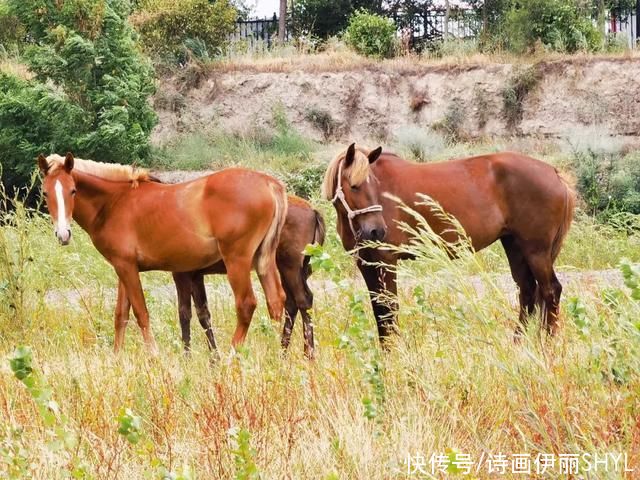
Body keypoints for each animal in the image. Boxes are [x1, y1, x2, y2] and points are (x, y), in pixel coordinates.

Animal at [38, 153, 288, 352]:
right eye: (45, 193)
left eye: (73, 191)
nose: (63, 234)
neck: (115, 202)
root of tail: (268, 182)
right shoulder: (123, 268)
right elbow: (121, 315)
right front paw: (116, 358)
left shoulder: (127, 268)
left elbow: (141, 313)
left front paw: (154, 356)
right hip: (263, 261)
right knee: (277, 302)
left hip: (237, 261)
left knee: (246, 304)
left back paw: (230, 357)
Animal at [172, 195, 324, 356]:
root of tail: (313, 211)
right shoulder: (195, 276)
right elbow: (203, 315)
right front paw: (214, 357)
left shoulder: (182, 274)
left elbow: (184, 314)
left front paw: (188, 356)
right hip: (286, 268)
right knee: (291, 303)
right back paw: (283, 352)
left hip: (291, 266)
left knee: (303, 300)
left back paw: (308, 354)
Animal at [322, 142, 576, 344]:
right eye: (354, 186)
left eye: (374, 185)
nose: (377, 230)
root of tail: (554, 173)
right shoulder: (366, 263)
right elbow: (379, 310)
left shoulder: (387, 261)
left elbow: (390, 308)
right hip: (515, 246)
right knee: (528, 292)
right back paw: (519, 345)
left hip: (536, 251)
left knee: (551, 291)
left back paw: (548, 346)